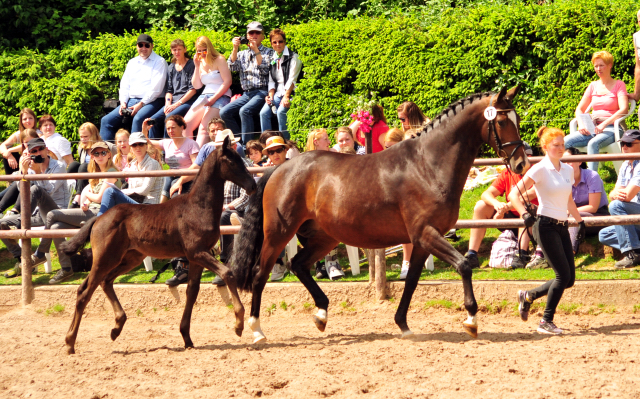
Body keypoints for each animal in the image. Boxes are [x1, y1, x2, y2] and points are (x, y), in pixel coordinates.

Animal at [59, 137, 255, 354]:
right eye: (232, 162)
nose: (253, 185)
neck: (197, 207)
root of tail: (99, 219)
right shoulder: (197, 252)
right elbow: (227, 273)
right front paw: (239, 324)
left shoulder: (195, 258)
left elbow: (192, 292)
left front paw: (187, 338)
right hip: (105, 258)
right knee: (85, 292)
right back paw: (70, 343)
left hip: (129, 258)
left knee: (106, 282)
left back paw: (117, 327)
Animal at [232, 86, 528, 342]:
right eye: (503, 120)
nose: (520, 163)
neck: (427, 165)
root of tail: (279, 169)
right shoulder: (426, 234)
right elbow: (464, 266)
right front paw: (471, 320)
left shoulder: (422, 241)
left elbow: (411, 281)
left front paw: (403, 324)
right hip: (278, 233)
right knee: (260, 273)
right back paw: (256, 329)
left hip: (324, 238)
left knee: (298, 265)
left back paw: (321, 314)